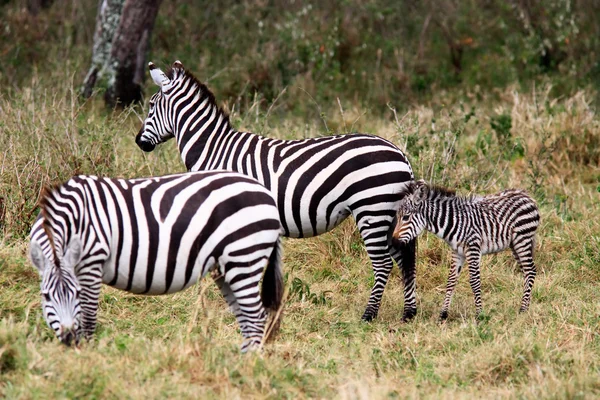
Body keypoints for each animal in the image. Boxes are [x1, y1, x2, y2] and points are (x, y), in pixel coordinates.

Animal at [29, 170, 288, 352]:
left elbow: (89, 316)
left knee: (256, 318)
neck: (75, 220)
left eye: (74, 293)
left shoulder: (92, 262)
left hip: (244, 256)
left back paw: (248, 367)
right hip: (226, 268)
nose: (69, 340)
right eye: (46, 296)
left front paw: (87, 356)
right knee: (246, 318)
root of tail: (265, 192)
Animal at [135, 59, 418, 322]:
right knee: (404, 259)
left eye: (151, 105)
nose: (138, 142)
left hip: (373, 209)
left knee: (383, 263)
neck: (214, 149)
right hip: (389, 214)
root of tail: (400, 153)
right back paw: (409, 313)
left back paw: (369, 315)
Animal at [392, 180, 540, 320]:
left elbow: (474, 281)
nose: (393, 242)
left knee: (530, 270)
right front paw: (443, 315)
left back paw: (523, 310)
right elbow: (451, 281)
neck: (454, 222)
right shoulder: (457, 252)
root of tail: (527, 196)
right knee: (526, 271)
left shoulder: (473, 248)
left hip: (522, 240)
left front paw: (479, 315)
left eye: (406, 217)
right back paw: (525, 307)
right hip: (515, 244)